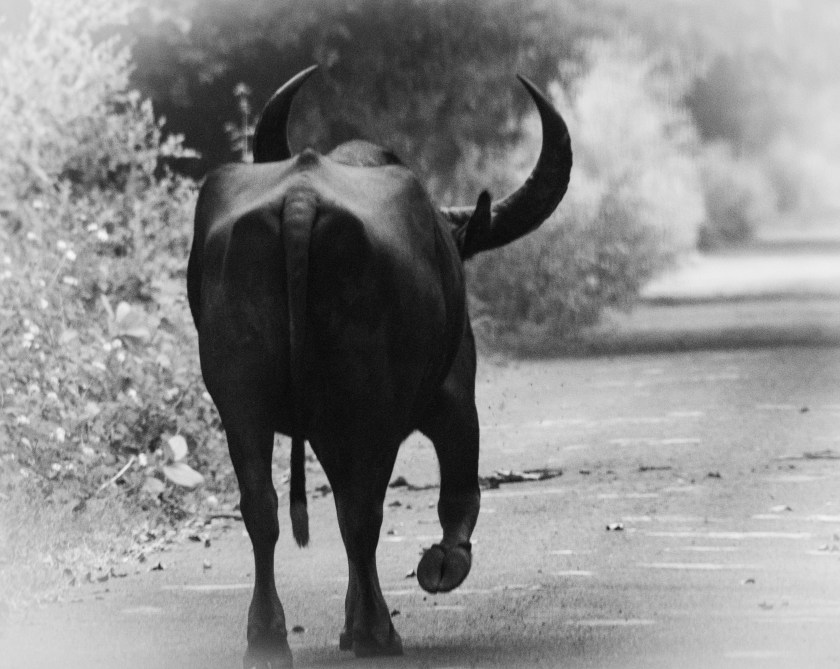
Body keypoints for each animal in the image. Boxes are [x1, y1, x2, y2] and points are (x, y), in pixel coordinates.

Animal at [187, 65, 571, 668]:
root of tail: (301, 199)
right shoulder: (455, 396)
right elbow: (459, 495)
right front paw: (440, 566)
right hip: (371, 407)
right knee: (361, 513)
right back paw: (376, 631)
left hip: (241, 404)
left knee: (264, 509)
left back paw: (269, 636)